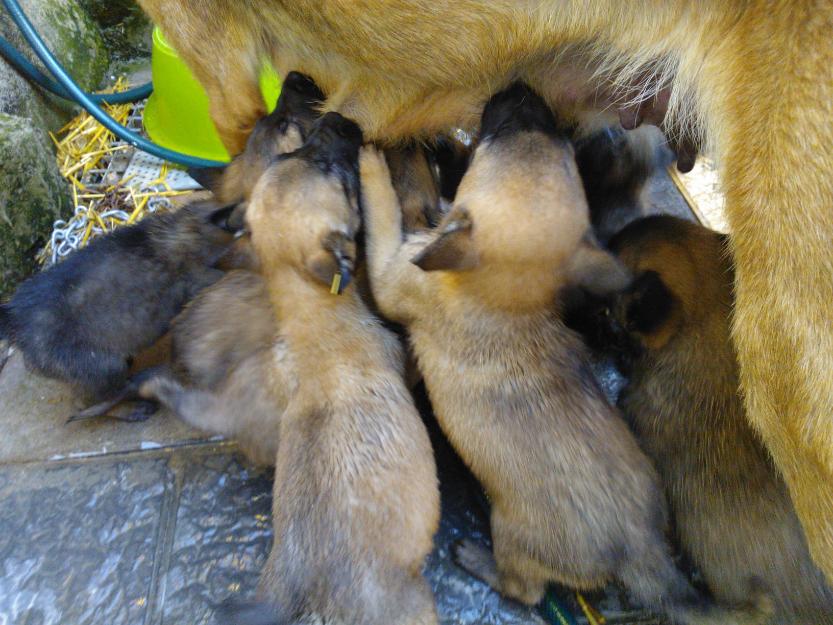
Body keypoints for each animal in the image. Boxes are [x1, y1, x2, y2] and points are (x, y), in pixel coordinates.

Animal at [0, 200, 240, 412]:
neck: (182, 228)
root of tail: (14, 319)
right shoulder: (198, 277)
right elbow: (226, 273)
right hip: (103, 367)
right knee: (93, 402)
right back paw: (136, 406)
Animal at [221, 112, 442, 624]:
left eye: (289, 153)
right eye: (335, 175)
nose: (340, 119)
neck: (315, 321)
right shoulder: (400, 359)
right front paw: (374, 169)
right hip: (415, 604)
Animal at [360, 84, 772, 624]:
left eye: (496, 137)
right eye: (559, 145)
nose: (521, 88)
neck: (501, 296)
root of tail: (640, 552)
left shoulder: (392, 276)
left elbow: (384, 220)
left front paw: (370, 164)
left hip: (514, 537)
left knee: (525, 590)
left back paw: (478, 559)